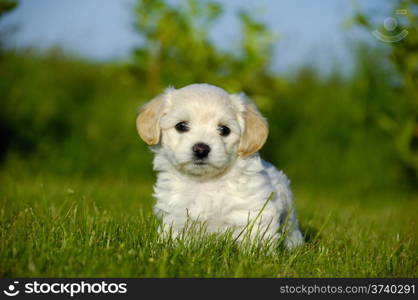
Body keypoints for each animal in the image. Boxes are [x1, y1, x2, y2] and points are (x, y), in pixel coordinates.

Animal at [137, 84, 304, 248]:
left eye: (224, 129)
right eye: (181, 126)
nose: (201, 149)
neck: (205, 182)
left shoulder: (253, 211)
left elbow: (255, 239)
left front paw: (256, 253)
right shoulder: (177, 217)